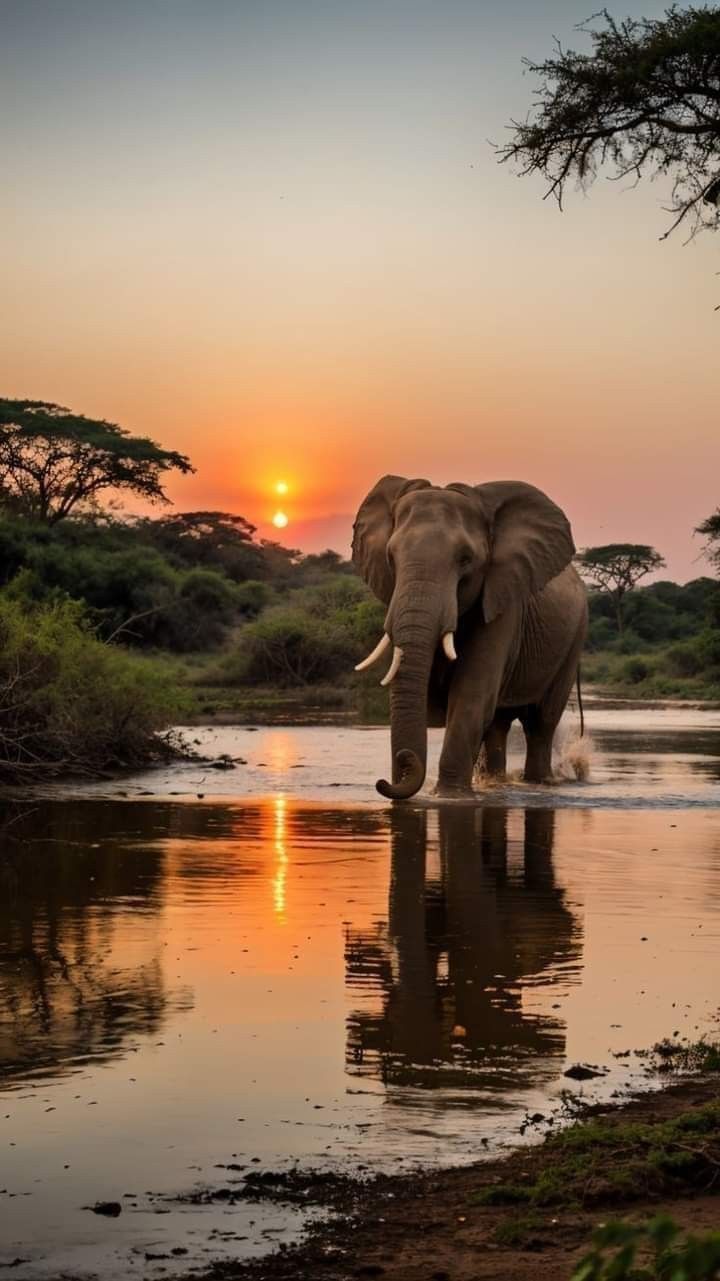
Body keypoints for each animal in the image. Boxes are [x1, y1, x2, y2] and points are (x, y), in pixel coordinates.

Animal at [351, 479, 586, 794]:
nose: (384, 780)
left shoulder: (503, 602)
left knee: (541, 722)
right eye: (390, 557)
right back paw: (496, 783)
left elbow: (471, 696)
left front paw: (449, 794)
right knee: (498, 723)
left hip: (574, 639)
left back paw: (539, 782)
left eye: (465, 560)